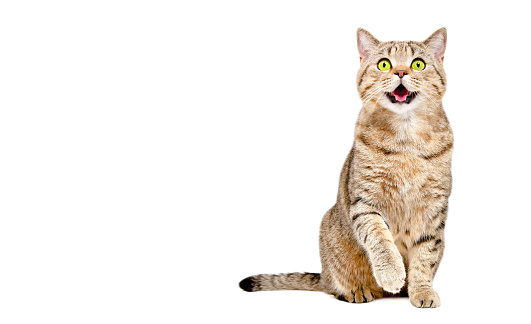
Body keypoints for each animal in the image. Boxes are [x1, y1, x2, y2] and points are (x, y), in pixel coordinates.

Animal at [241, 28, 454, 308]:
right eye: (384, 64)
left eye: (418, 64)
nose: (400, 72)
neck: (406, 137)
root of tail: (323, 275)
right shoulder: (365, 202)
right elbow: (380, 239)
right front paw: (392, 273)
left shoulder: (433, 210)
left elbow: (425, 256)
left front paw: (421, 290)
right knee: (334, 285)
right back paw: (356, 290)